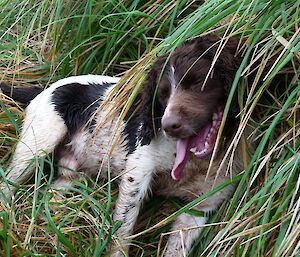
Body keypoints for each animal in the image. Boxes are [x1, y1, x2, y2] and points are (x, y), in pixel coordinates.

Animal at [0, 34, 248, 256]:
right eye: (162, 95)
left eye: (198, 81)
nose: (169, 125)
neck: (197, 162)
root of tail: (45, 88)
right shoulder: (137, 173)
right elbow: (122, 232)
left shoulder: (202, 206)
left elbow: (178, 246)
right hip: (37, 144)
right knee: (8, 183)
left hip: (72, 173)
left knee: (51, 192)